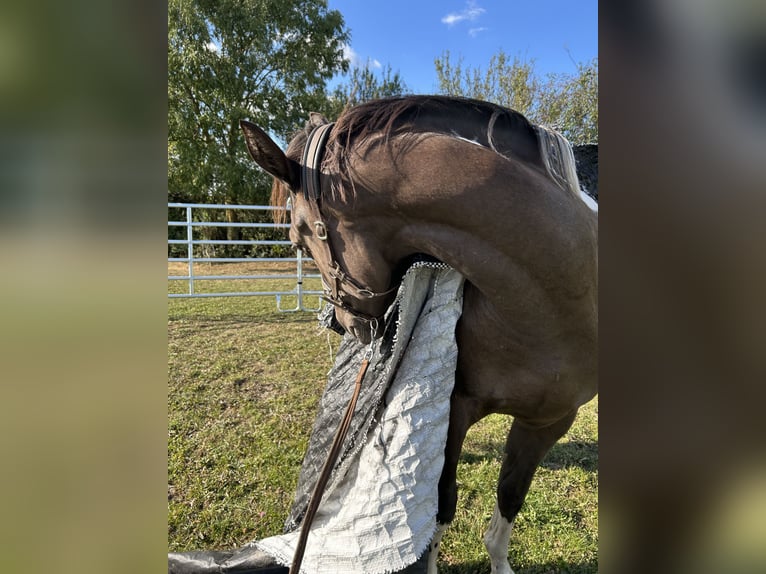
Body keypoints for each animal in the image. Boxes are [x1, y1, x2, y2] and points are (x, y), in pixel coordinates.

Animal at [240, 95, 598, 574]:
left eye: (298, 238)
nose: (342, 324)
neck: (552, 301)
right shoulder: (454, 409)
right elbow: (441, 504)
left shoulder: (549, 420)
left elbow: (510, 494)